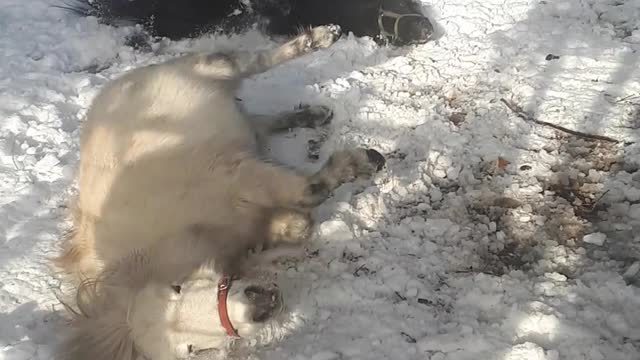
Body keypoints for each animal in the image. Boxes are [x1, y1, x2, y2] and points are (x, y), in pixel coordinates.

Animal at [51, 24, 384, 360]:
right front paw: (295, 223)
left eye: (177, 288)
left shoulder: (237, 175)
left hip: (214, 68)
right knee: (258, 121)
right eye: (191, 349)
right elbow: (296, 221)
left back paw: (320, 39)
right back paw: (313, 114)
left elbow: (309, 190)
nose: (260, 307)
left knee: (255, 62)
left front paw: (359, 163)